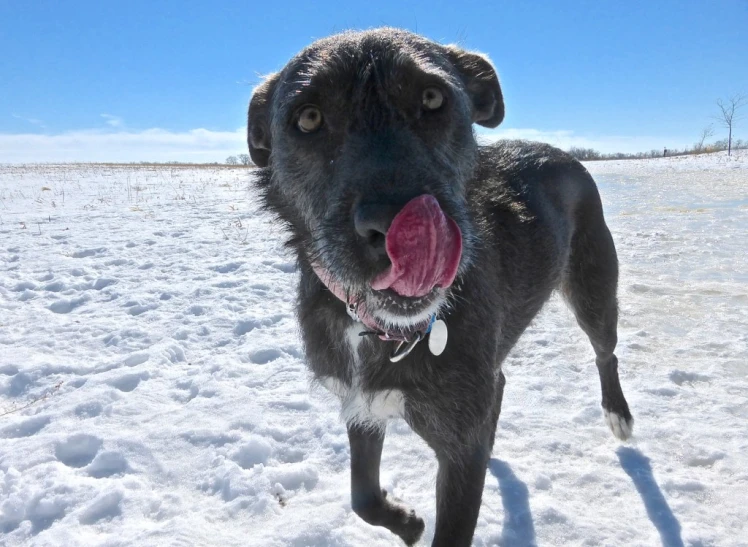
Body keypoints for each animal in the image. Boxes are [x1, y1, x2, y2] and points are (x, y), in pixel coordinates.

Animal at [248, 27, 636, 544]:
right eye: (308, 118)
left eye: (433, 98)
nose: (394, 225)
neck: (377, 329)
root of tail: (563, 153)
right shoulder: (361, 403)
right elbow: (362, 496)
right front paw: (406, 522)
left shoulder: (459, 453)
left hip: (594, 290)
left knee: (604, 351)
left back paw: (618, 412)